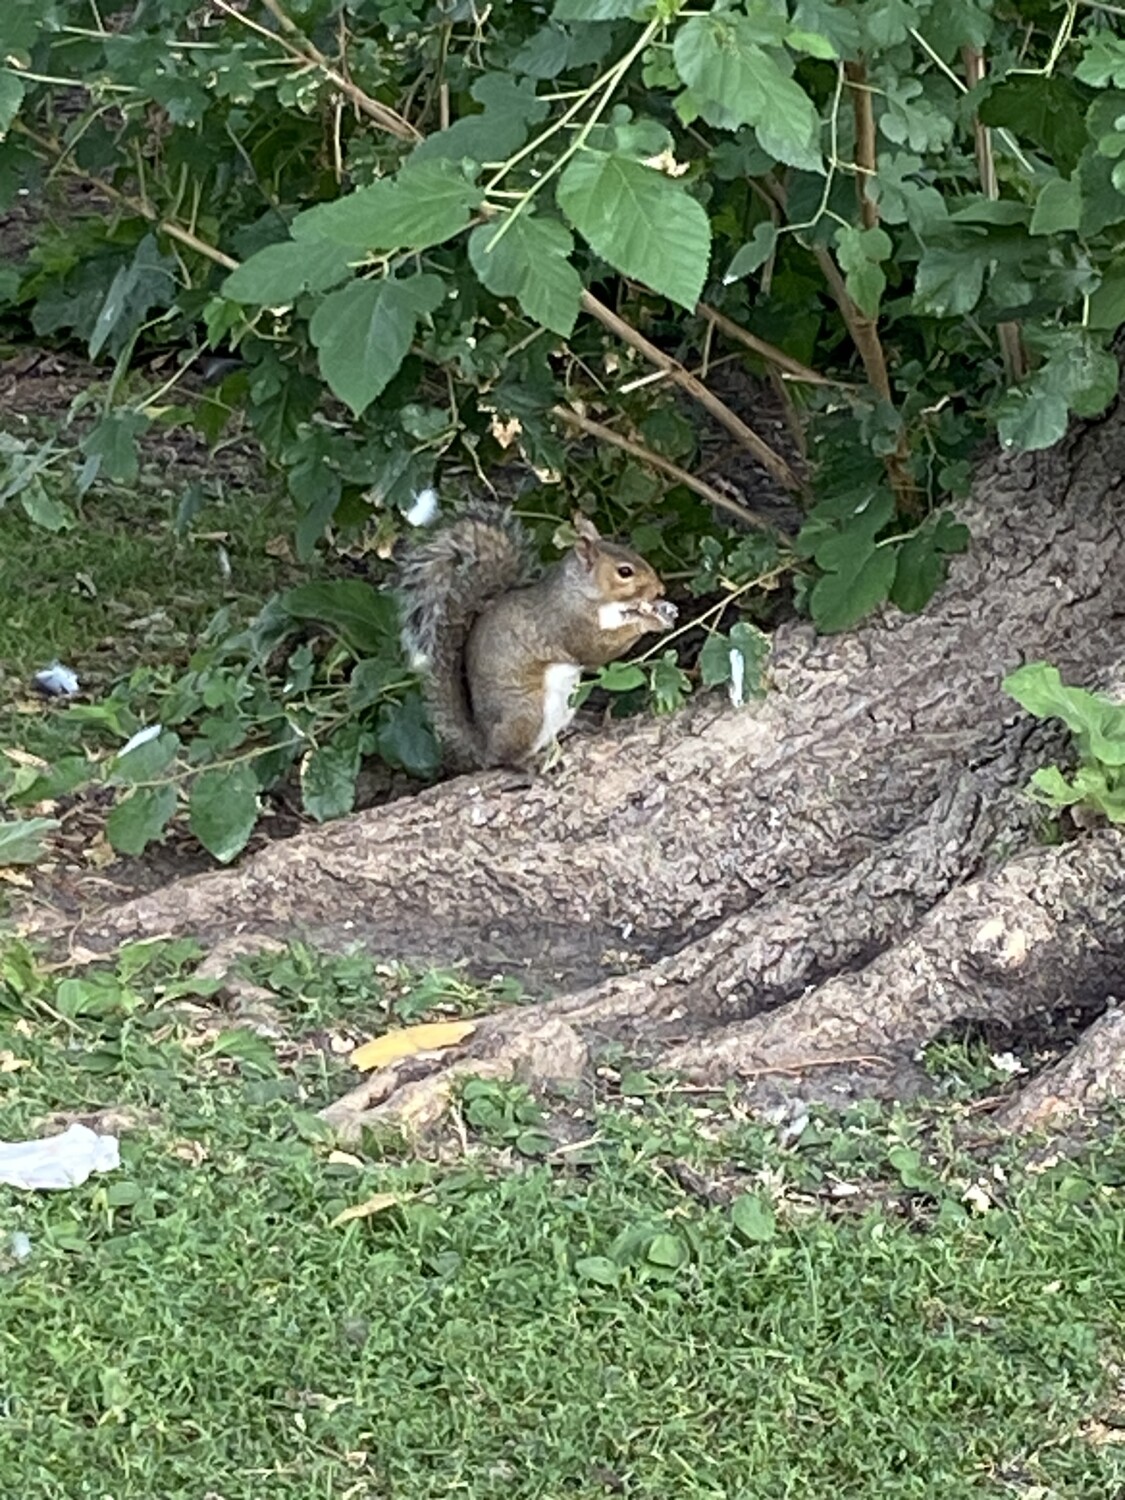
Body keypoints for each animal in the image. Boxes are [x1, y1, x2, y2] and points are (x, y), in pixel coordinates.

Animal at [398, 502, 677, 770]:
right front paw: (650, 622)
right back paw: (526, 763)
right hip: (527, 713)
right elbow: (598, 650)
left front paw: (662, 610)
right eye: (625, 572)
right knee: (505, 757)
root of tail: (484, 745)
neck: (585, 594)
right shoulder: (569, 625)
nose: (661, 589)